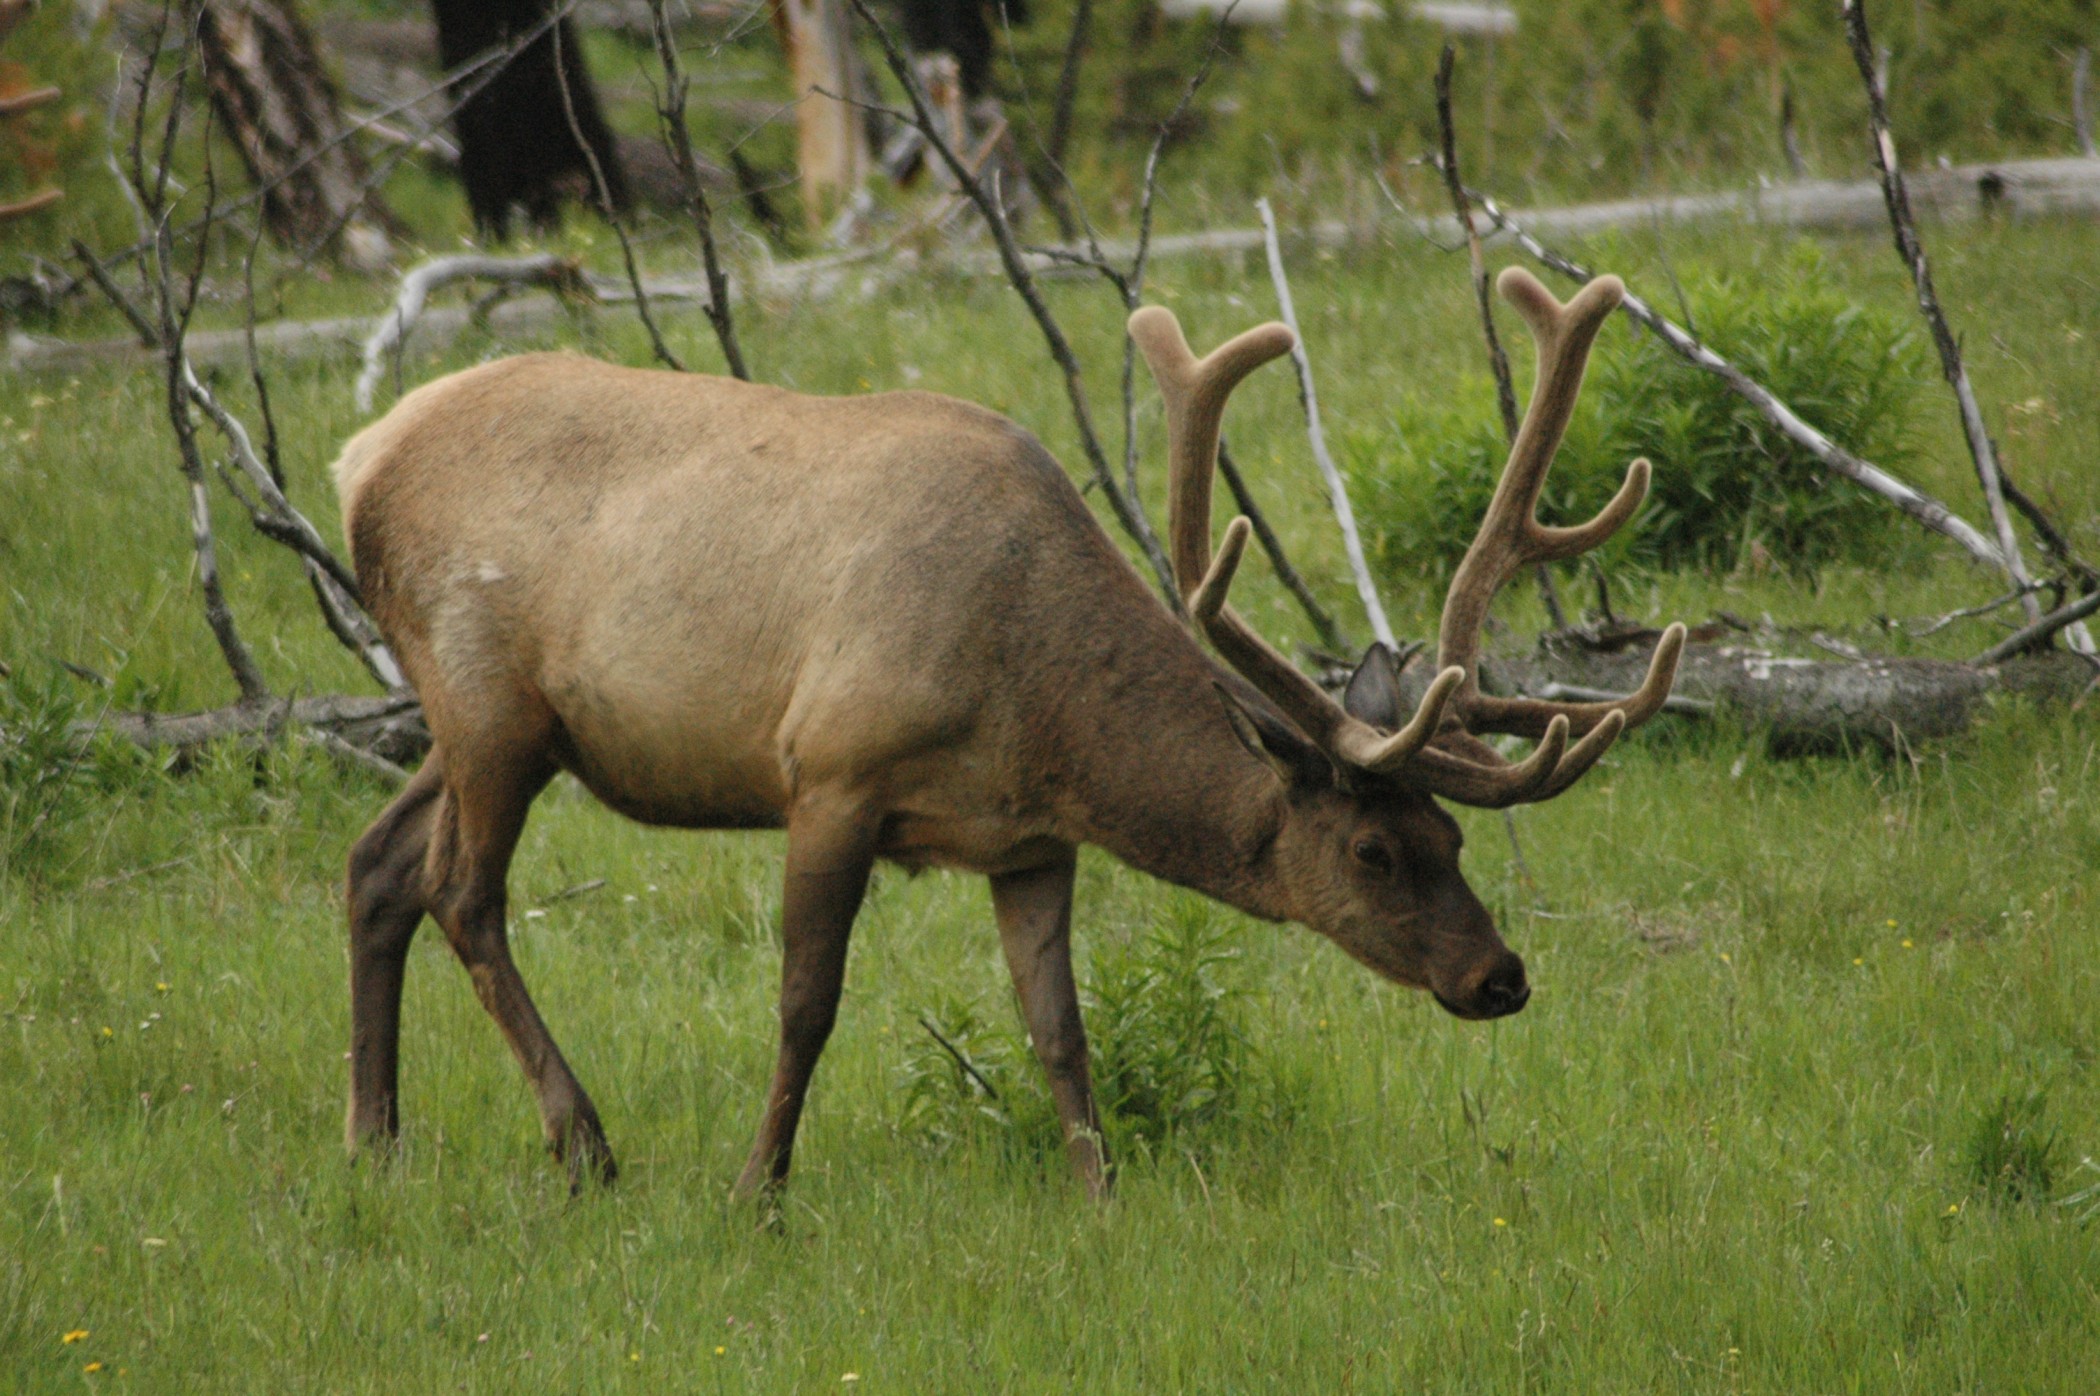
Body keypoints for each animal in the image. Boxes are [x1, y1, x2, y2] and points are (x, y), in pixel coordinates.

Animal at [331, 266, 1671, 1192]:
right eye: (1372, 850)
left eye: (1454, 836)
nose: (1499, 975)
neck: (1033, 704)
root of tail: (358, 459)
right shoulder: (832, 771)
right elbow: (807, 1003)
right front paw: (757, 1189)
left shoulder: (1030, 842)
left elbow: (1060, 1033)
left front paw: (1102, 1196)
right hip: (486, 694)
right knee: (461, 889)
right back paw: (583, 1143)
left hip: (485, 722)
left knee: (377, 862)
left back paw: (375, 1138)